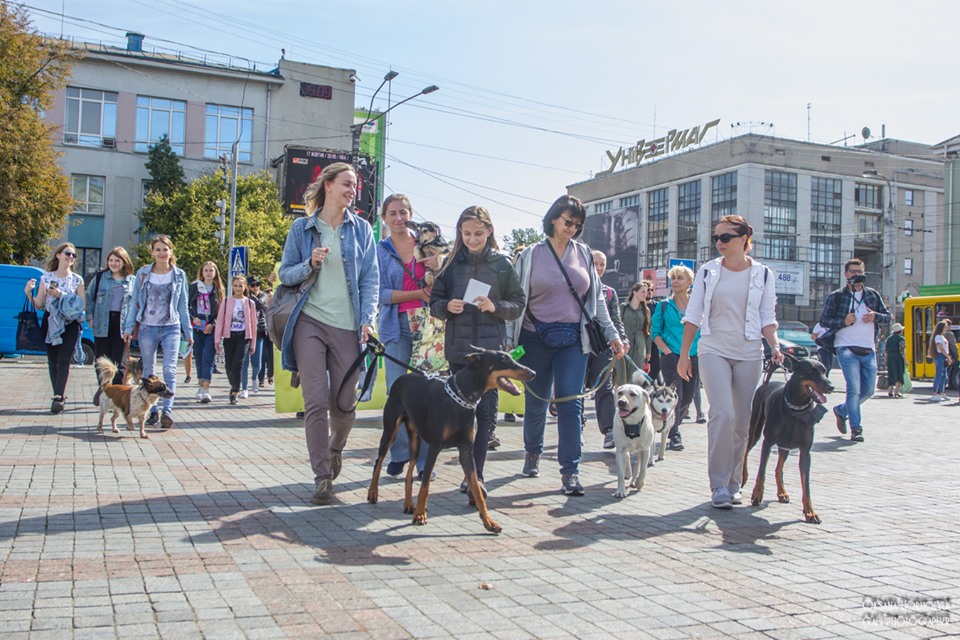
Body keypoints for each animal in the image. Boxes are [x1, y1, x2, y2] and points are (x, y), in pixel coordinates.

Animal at [366, 348, 532, 532]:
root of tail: (402, 378)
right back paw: (373, 493)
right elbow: (425, 485)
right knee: (379, 461)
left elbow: (476, 488)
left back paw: (409, 504)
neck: (462, 399)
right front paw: (420, 515)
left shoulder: (466, 451)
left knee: (409, 471)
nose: (533, 373)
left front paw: (489, 522)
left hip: (415, 439)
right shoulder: (434, 447)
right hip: (390, 430)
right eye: (504, 359)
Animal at [744, 356, 832, 524]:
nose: (831, 386)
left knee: (778, 469)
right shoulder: (767, 442)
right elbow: (761, 472)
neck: (795, 410)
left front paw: (810, 512)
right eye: (811, 371)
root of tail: (767, 383)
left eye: (824, 371)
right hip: (755, 429)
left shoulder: (805, 452)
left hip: (785, 446)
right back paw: (743, 475)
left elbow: (806, 484)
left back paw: (782, 493)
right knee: (745, 452)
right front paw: (757, 494)